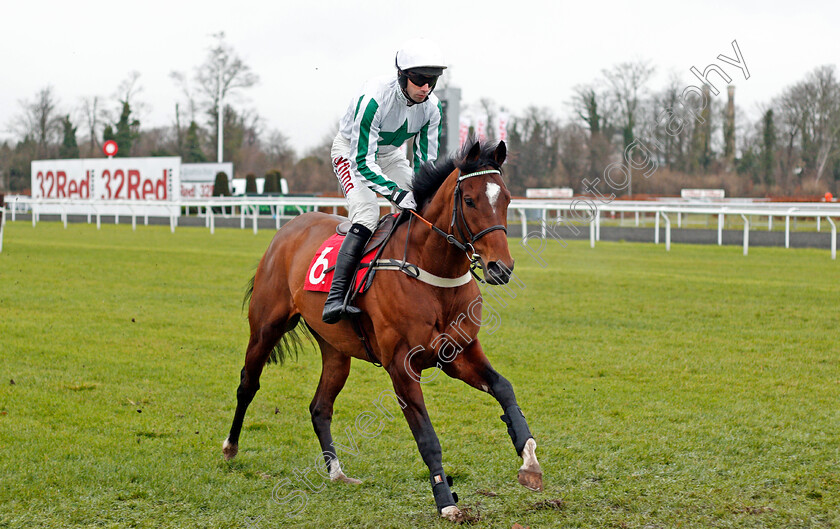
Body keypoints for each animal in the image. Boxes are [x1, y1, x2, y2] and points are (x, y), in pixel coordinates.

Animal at [220, 139, 540, 520]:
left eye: (505, 198)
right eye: (469, 200)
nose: (500, 268)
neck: (432, 272)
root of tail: (290, 226)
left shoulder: (459, 353)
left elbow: (504, 389)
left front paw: (529, 460)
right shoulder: (402, 366)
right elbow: (427, 437)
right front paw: (446, 500)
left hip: (336, 349)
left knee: (319, 407)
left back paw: (337, 472)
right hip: (266, 327)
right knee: (247, 384)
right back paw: (230, 447)